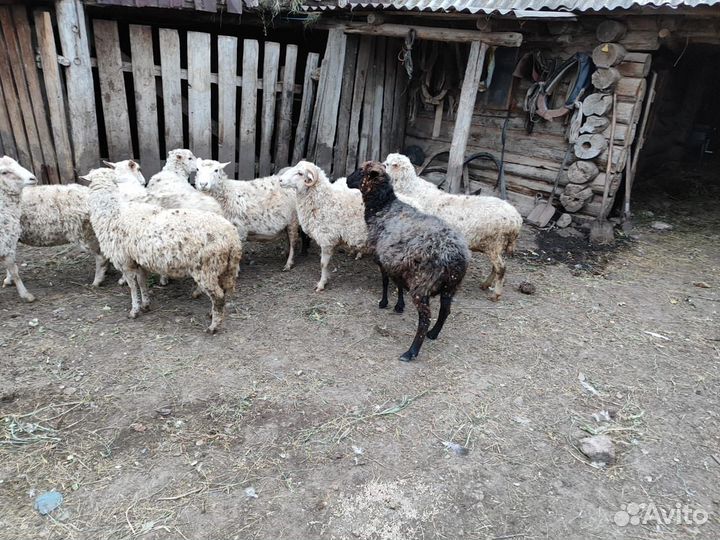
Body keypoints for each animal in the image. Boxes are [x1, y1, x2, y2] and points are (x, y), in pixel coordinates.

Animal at [0, 156, 37, 302]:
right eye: (4, 172)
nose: (33, 178)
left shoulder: (7, 243)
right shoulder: (5, 242)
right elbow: (15, 271)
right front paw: (26, 294)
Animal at [83, 168, 242, 334]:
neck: (111, 212)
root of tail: (232, 238)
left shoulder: (125, 262)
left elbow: (133, 287)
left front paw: (134, 310)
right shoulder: (139, 260)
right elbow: (142, 283)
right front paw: (145, 304)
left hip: (207, 267)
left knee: (218, 296)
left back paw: (213, 326)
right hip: (224, 267)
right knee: (223, 291)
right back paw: (212, 314)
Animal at [278, 161, 369, 291]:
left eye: (300, 173)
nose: (280, 180)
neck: (323, 201)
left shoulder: (326, 238)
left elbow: (323, 264)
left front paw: (321, 284)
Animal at [346, 161, 470, 362]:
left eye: (360, 171)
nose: (347, 180)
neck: (384, 206)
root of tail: (455, 254)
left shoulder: (380, 257)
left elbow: (385, 281)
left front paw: (384, 303)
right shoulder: (397, 261)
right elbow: (397, 283)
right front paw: (399, 305)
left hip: (422, 284)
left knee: (425, 318)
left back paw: (411, 351)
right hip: (451, 284)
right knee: (445, 310)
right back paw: (434, 333)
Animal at [383, 153, 523, 301]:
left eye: (386, 164)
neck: (411, 190)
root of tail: (517, 220)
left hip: (495, 243)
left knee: (501, 268)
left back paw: (495, 294)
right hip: (494, 246)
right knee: (495, 267)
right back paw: (485, 284)